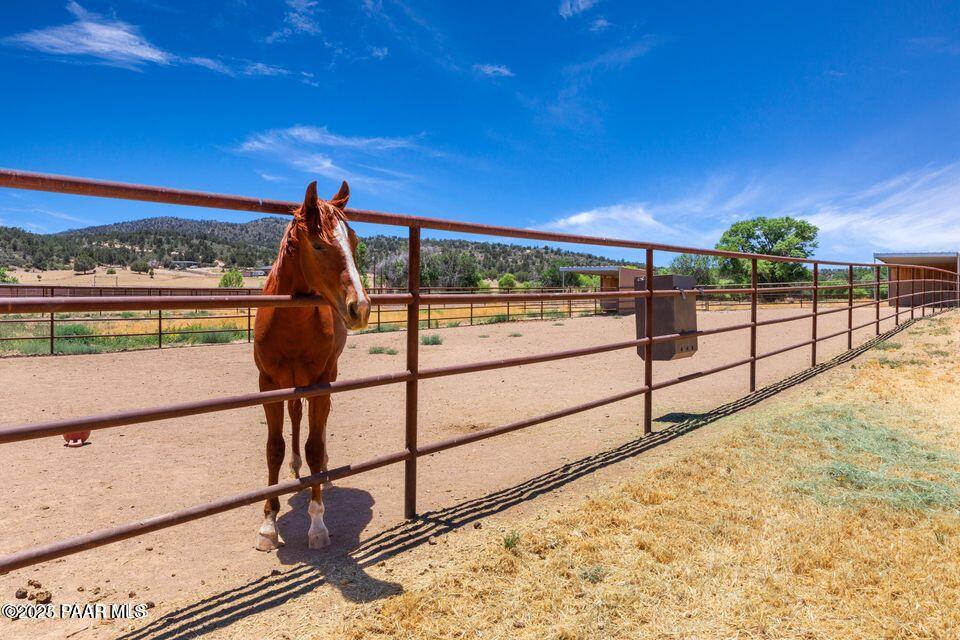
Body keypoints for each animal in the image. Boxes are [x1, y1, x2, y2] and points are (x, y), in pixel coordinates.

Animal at [253, 180, 370, 551]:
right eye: (318, 244)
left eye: (353, 240)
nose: (361, 307)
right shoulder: (268, 384)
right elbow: (273, 449)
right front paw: (268, 525)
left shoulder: (320, 381)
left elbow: (316, 447)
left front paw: (317, 526)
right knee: (295, 416)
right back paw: (295, 467)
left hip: (325, 377)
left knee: (318, 424)